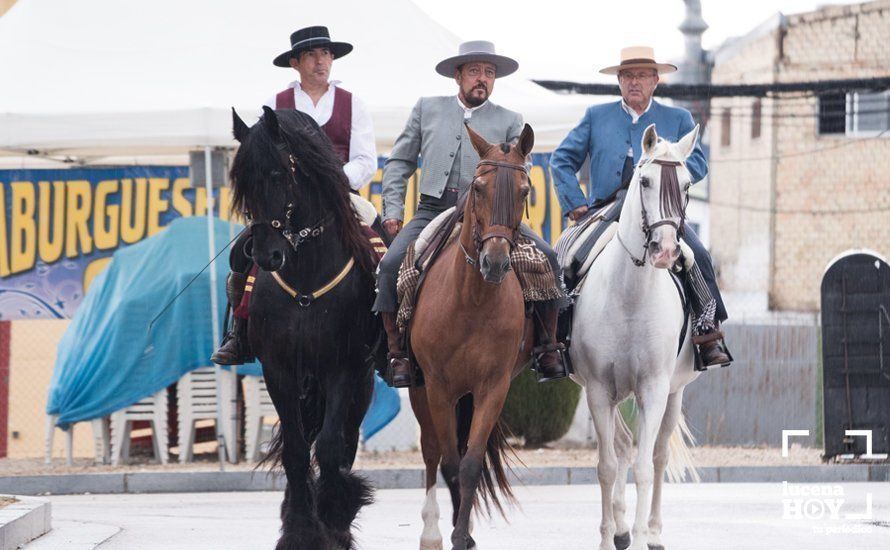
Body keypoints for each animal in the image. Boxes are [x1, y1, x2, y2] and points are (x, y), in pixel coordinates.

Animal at [229, 105, 378, 548]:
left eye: (279, 174)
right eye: (243, 182)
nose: (267, 256)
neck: (306, 277)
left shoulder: (343, 366)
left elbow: (329, 446)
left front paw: (333, 518)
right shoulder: (278, 369)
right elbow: (295, 450)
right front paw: (298, 528)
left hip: (361, 382)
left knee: (345, 440)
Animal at [408, 124, 536, 550]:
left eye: (525, 191)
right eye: (478, 188)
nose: (494, 262)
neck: (472, 301)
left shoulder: (493, 387)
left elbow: (470, 463)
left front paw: (464, 534)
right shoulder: (438, 387)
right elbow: (449, 462)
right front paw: (453, 533)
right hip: (420, 390)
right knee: (431, 452)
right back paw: (431, 531)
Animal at [572, 124, 704, 550]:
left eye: (688, 184)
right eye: (644, 181)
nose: (665, 251)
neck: (631, 295)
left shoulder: (654, 388)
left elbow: (646, 466)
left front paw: (646, 532)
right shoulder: (598, 389)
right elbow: (607, 465)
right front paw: (607, 534)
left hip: (675, 392)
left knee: (658, 455)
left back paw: (654, 530)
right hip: (611, 394)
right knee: (620, 446)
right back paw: (620, 526)